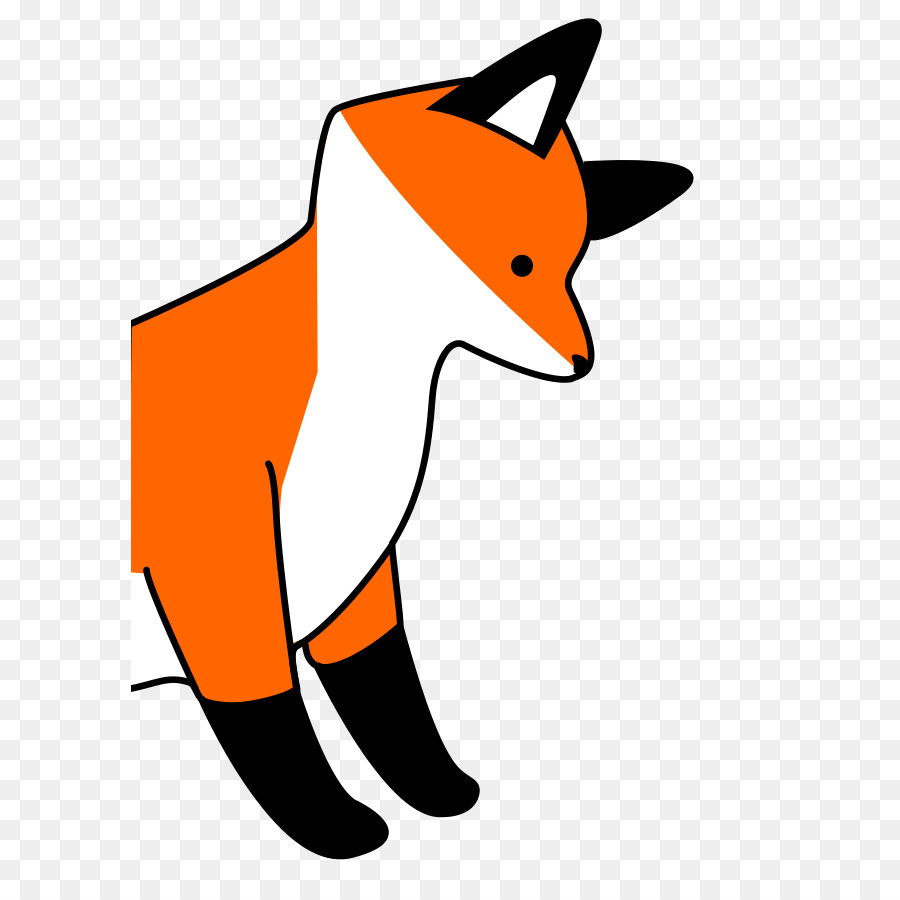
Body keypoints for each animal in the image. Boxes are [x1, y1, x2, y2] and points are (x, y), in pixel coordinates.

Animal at [131, 20, 692, 858]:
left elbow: (386, 697)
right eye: (521, 263)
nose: (583, 361)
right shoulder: (221, 573)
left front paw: (437, 792)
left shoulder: (356, 570)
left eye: (572, 268)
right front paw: (330, 827)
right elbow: (269, 720)